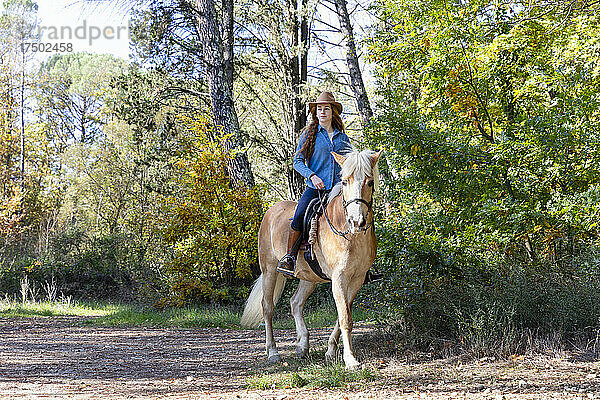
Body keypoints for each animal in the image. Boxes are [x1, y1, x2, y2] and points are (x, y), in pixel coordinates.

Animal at [239, 149, 380, 368]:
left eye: (370, 182)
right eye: (345, 182)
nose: (356, 221)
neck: (350, 236)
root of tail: (271, 211)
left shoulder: (356, 279)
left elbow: (343, 315)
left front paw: (330, 351)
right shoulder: (339, 279)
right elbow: (345, 318)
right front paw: (350, 360)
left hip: (309, 277)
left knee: (295, 302)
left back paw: (302, 345)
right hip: (269, 270)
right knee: (268, 308)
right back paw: (273, 352)